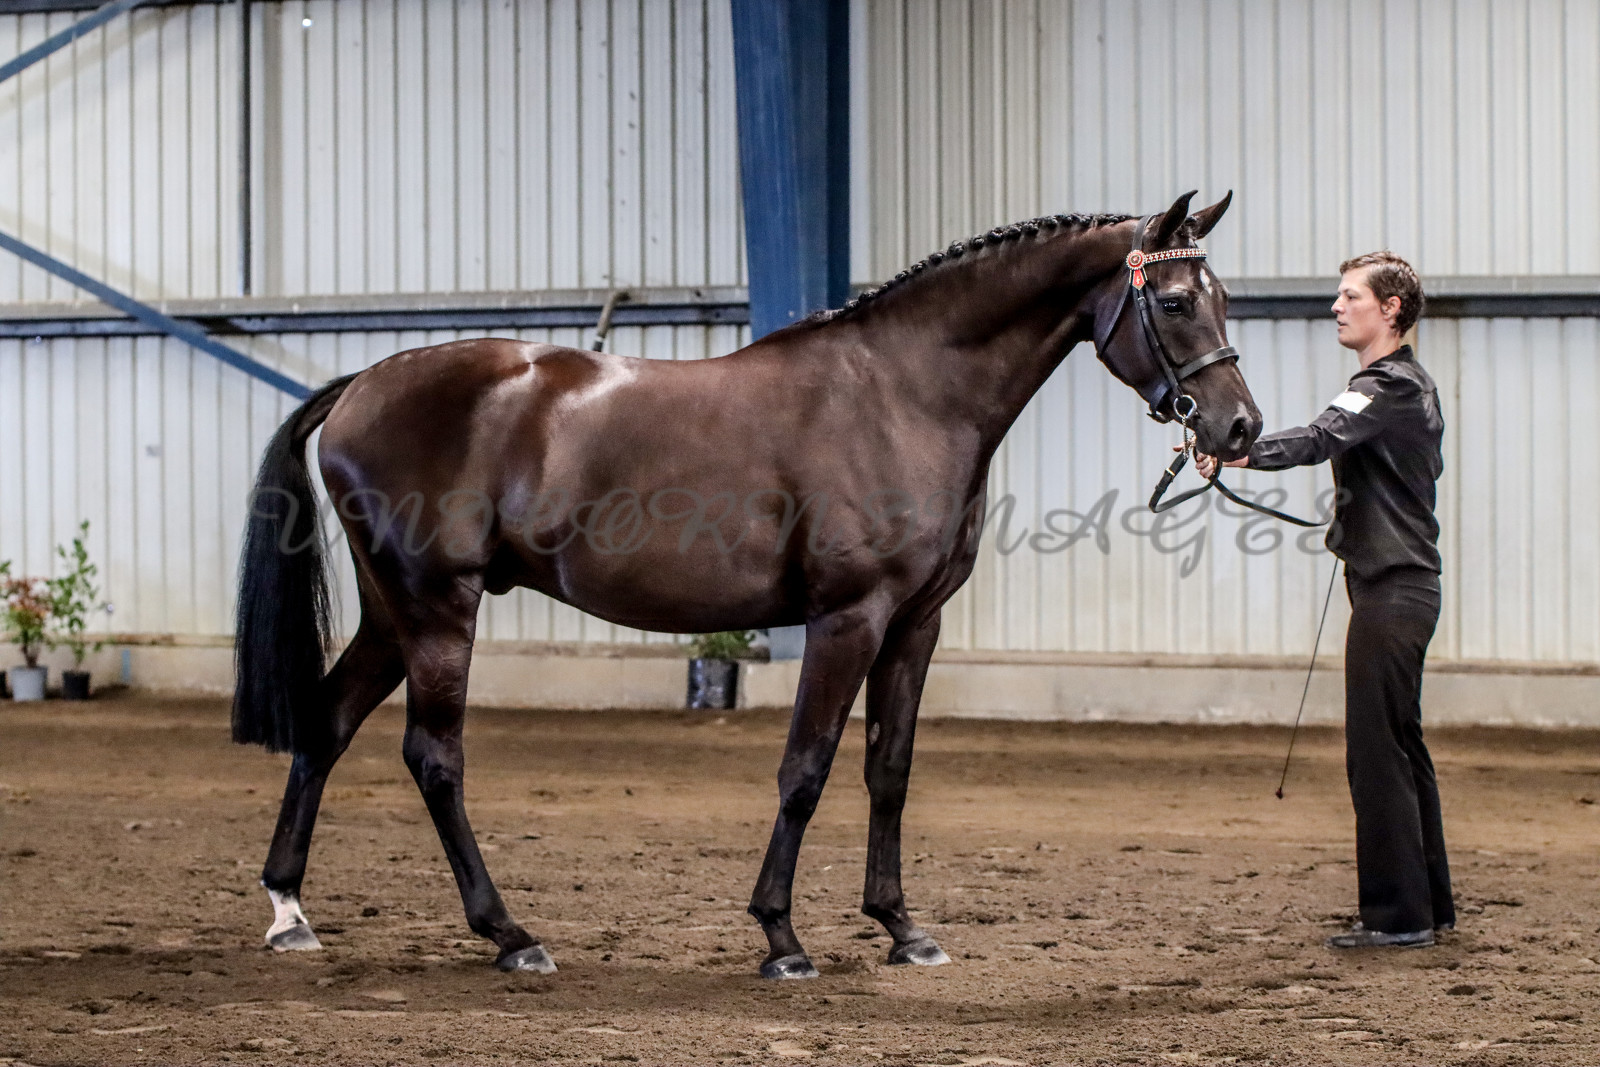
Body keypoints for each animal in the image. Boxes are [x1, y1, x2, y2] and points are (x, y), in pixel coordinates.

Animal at [232, 190, 1261, 979]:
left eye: (1219, 297)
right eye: (1176, 302)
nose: (1239, 427)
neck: (901, 394)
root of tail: (362, 384)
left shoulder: (915, 624)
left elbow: (888, 770)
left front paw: (902, 928)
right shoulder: (848, 620)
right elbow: (805, 769)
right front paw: (782, 937)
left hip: (392, 615)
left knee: (325, 726)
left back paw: (290, 912)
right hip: (439, 610)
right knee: (434, 758)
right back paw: (510, 935)